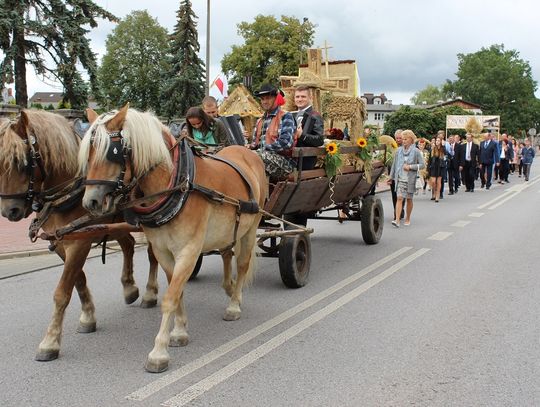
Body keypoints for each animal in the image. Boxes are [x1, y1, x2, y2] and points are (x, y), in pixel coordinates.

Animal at [0, 110, 160, 362]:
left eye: (22, 162)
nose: (9, 211)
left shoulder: (79, 243)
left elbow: (62, 291)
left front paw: (50, 342)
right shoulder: (61, 242)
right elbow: (78, 280)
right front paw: (88, 316)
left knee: (153, 255)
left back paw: (149, 293)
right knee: (128, 244)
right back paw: (129, 287)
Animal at [79, 105, 266, 372]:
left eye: (112, 152)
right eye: (88, 152)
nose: (90, 202)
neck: (178, 183)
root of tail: (247, 151)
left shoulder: (188, 251)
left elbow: (169, 298)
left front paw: (159, 352)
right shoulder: (163, 251)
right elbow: (178, 293)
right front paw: (178, 332)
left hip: (251, 227)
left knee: (242, 264)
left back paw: (234, 304)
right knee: (226, 253)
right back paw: (228, 288)